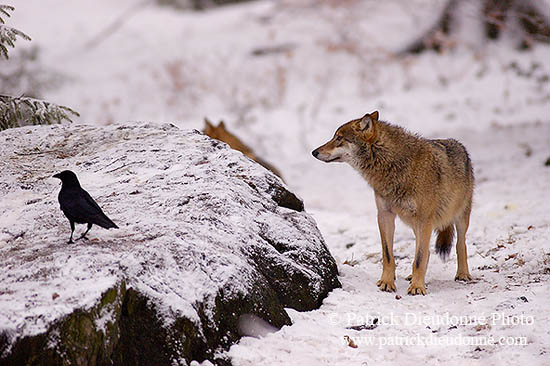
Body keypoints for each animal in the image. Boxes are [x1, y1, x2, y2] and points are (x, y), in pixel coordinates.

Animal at [312, 111, 476, 294]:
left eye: (339, 138)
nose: (314, 152)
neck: (393, 165)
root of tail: (460, 145)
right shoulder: (385, 215)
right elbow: (389, 255)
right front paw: (387, 283)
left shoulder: (424, 219)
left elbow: (419, 258)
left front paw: (417, 287)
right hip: (416, 224)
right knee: (425, 249)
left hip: (459, 218)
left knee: (460, 244)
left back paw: (462, 274)